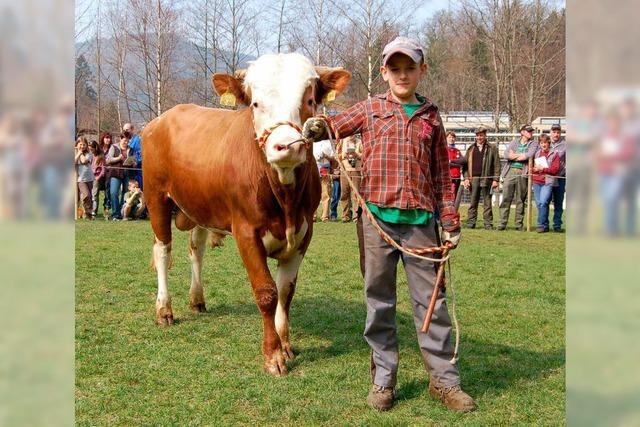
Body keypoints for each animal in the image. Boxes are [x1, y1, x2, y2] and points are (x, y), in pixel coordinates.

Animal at [141, 54, 350, 378]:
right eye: (254, 103)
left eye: (310, 99)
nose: (286, 146)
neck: (285, 200)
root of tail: (164, 118)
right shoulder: (246, 232)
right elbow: (266, 292)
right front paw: (273, 355)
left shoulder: (303, 235)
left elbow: (286, 291)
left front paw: (285, 345)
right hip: (156, 198)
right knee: (163, 251)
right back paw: (164, 309)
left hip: (200, 206)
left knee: (196, 251)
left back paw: (197, 299)